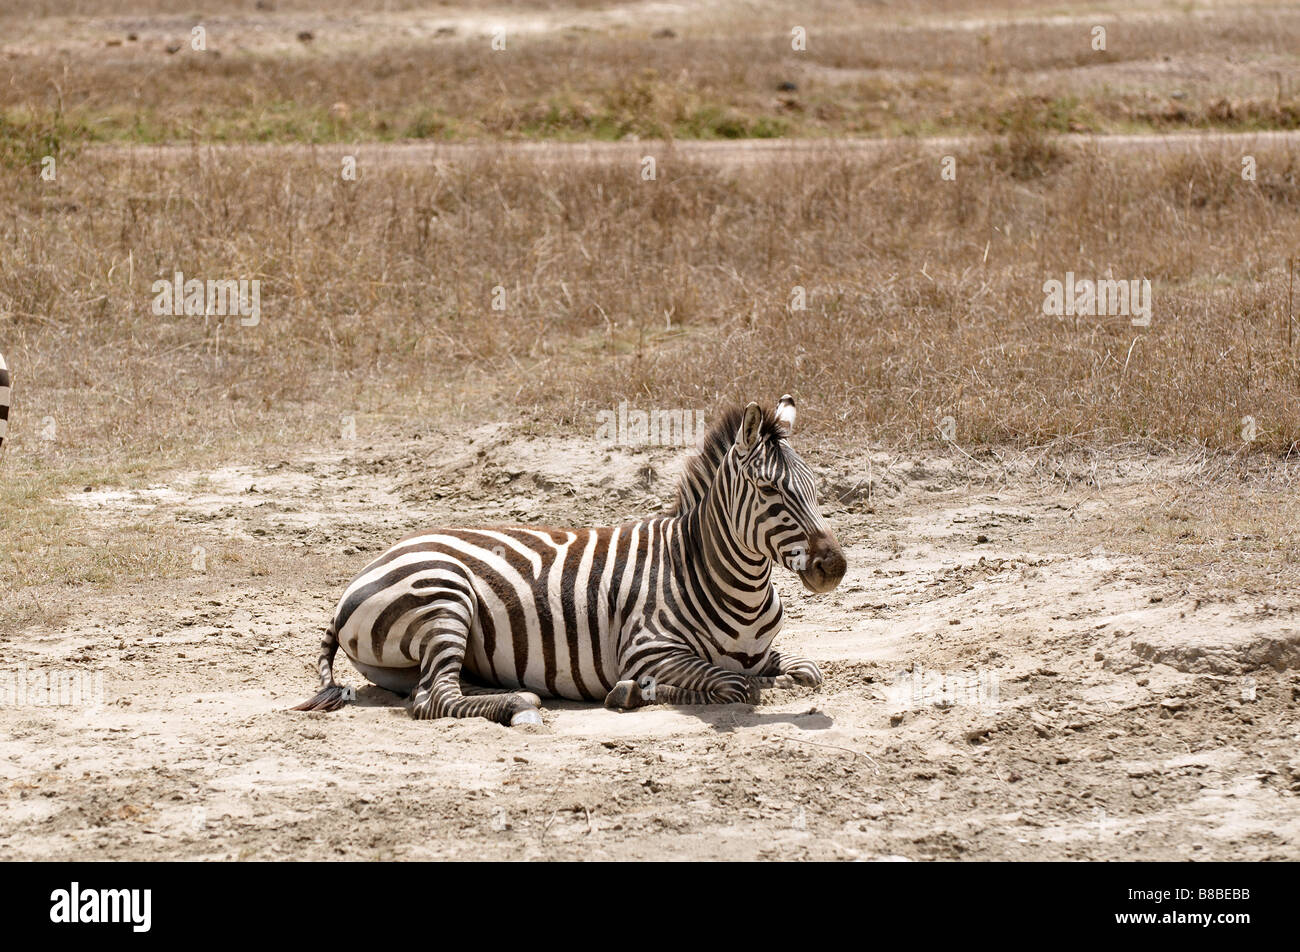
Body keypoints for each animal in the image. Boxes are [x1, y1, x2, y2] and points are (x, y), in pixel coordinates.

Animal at [292, 394, 846, 726]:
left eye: (814, 486)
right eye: (770, 490)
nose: (834, 567)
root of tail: (367, 568)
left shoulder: (762, 653)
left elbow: (804, 670)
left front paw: (780, 677)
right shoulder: (647, 650)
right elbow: (733, 686)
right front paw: (633, 693)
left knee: (430, 690)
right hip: (443, 599)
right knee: (435, 700)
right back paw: (520, 704)